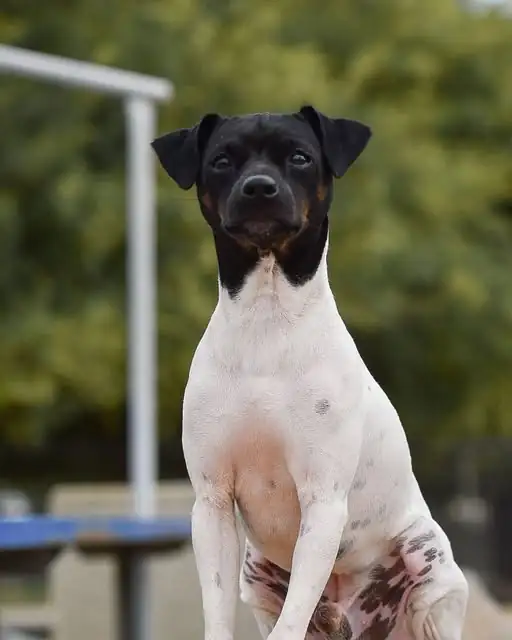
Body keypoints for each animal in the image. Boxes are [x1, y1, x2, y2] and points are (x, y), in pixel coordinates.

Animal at [152, 109, 468, 640]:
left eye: (299, 157)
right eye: (221, 160)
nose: (259, 187)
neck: (267, 320)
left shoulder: (323, 499)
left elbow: (292, 619)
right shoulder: (211, 502)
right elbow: (217, 610)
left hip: (428, 566)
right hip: (256, 574)